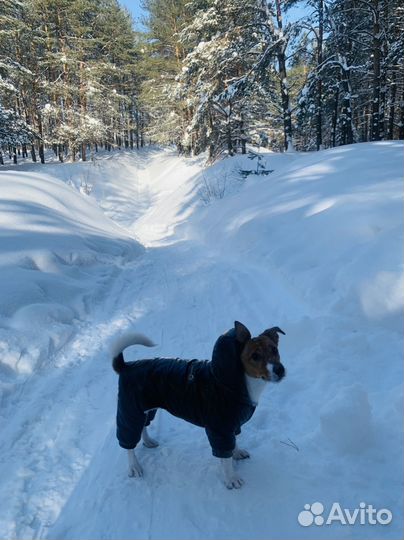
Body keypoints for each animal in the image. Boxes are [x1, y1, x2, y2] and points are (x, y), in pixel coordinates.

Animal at [112, 320, 286, 490]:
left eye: (274, 349)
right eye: (255, 356)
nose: (280, 369)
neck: (237, 381)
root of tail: (127, 366)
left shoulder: (232, 426)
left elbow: (233, 443)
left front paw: (236, 453)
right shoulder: (219, 430)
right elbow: (226, 458)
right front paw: (231, 478)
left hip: (146, 408)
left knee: (143, 425)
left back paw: (148, 441)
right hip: (129, 409)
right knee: (129, 442)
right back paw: (134, 466)